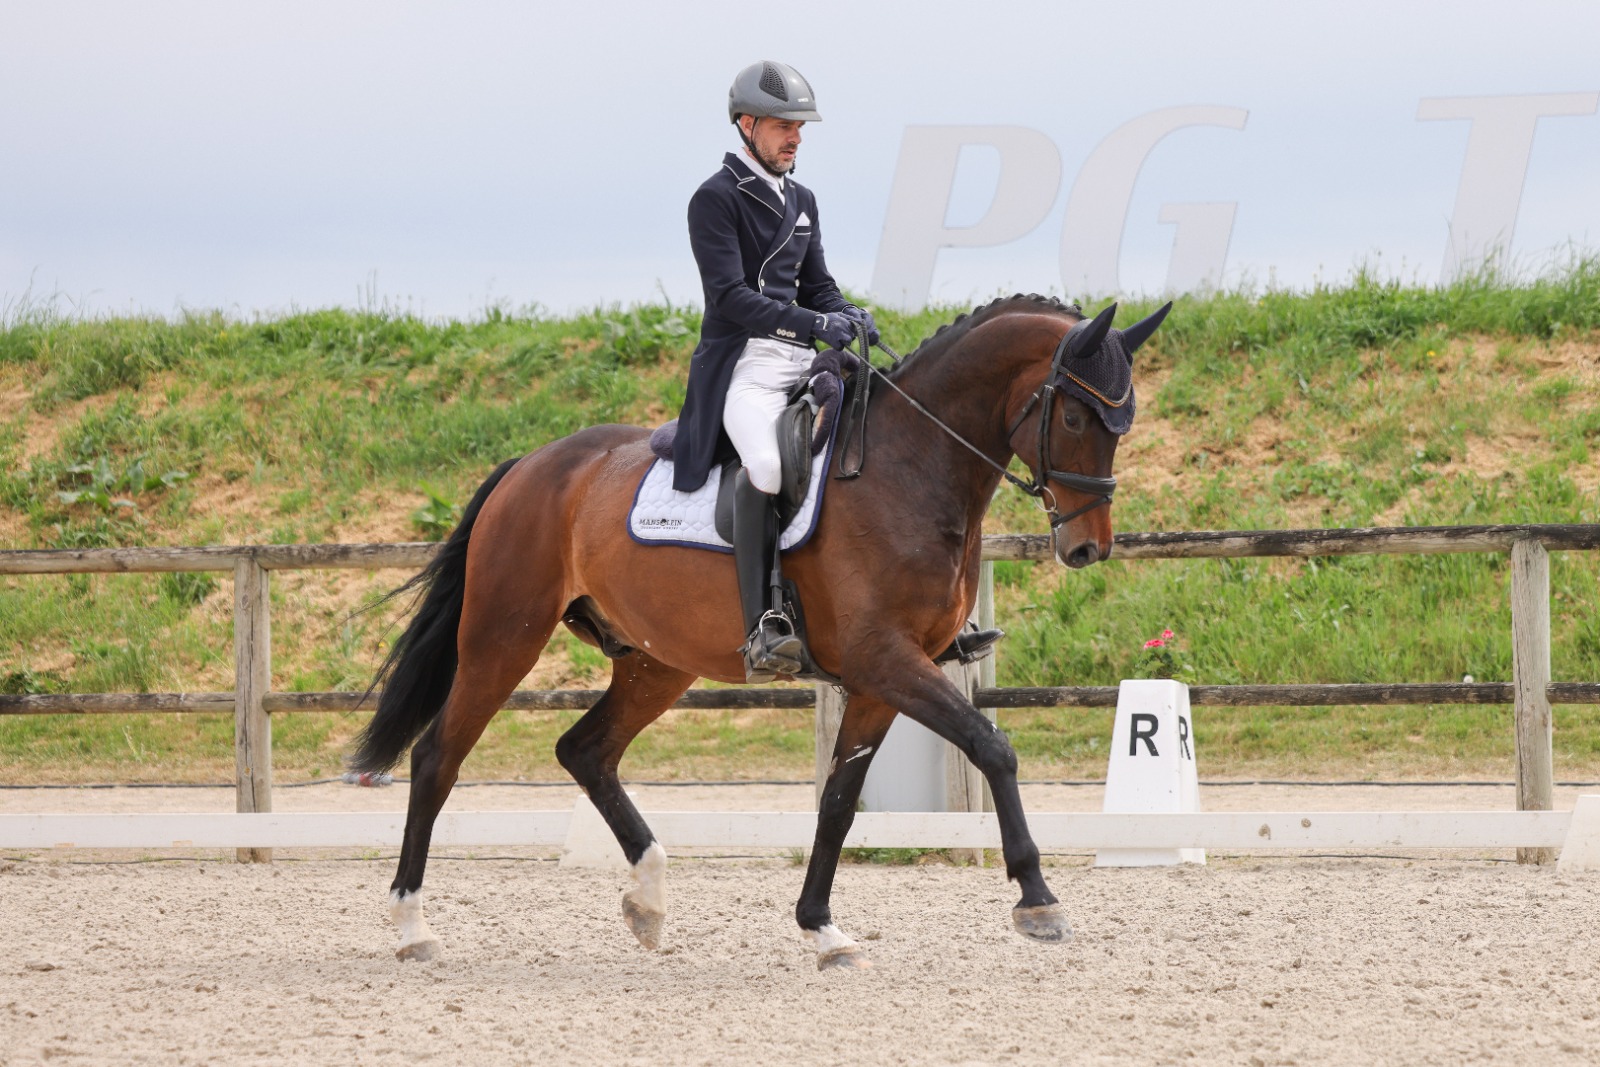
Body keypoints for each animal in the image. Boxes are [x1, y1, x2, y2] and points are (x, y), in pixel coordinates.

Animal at [349, 293, 1170, 970]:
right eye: (1074, 417)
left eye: (1123, 422)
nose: (1087, 547)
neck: (911, 465)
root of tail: (531, 464)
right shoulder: (886, 659)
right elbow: (992, 746)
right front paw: (1037, 898)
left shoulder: (879, 679)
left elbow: (839, 801)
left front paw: (823, 929)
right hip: (503, 637)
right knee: (438, 757)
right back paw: (411, 927)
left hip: (656, 661)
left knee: (585, 750)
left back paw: (648, 899)